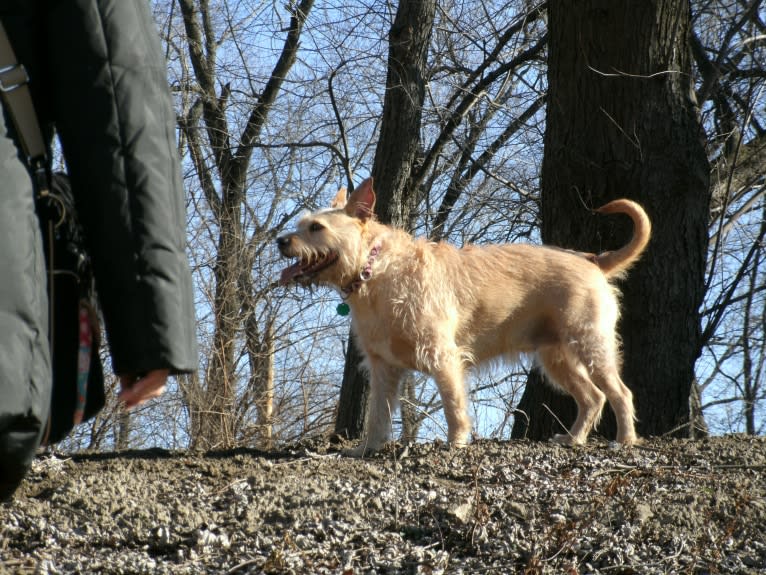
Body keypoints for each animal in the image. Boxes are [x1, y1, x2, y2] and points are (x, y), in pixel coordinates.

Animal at [280, 178, 652, 456]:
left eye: (316, 227)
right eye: (301, 224)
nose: (281, 240)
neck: (374, 272)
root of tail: (593, 260)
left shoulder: (443, 357)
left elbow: (453, 404)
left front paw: (456, 442)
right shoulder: (383, 367)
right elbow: (378, 414)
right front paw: (367, 448)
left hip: (591, 347)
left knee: (620, 393)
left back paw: (624, 440)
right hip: (556, 359)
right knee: (593, 397)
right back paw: (574, 438)